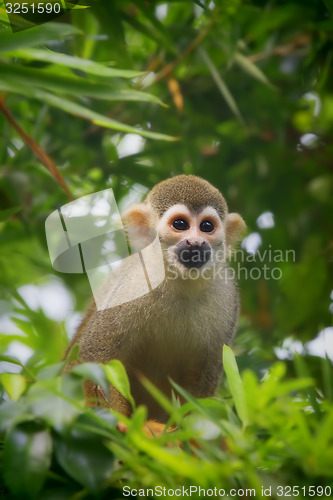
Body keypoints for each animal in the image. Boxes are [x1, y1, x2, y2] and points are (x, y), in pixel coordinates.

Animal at [66, 176, 245, 422]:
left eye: (207, 227)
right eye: (180, 224)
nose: (196, 243)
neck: (179, 282)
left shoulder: (226, 293)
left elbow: (202, 385)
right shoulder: (134, 283)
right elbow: (94, 359)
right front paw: (124, 426)